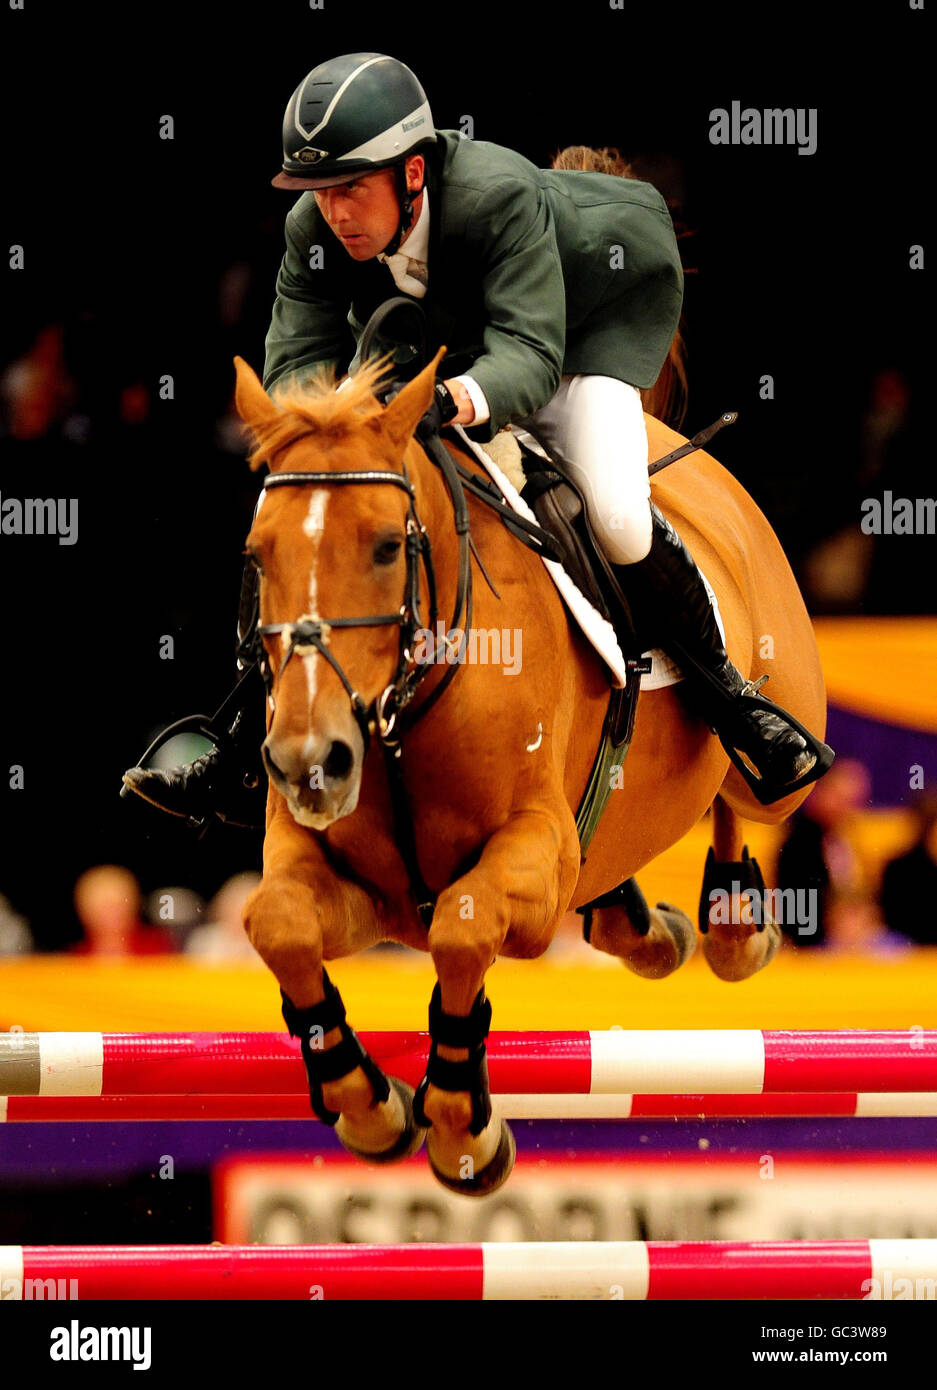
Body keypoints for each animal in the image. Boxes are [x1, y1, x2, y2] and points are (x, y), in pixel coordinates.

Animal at [234, 347, 828, 1195]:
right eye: (258, 556)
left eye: (386, 545)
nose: (309, 761)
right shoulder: (351, 883)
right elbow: (278, 923)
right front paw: (367, 1106)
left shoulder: (534, 855)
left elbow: (461, 926)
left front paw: (462, 1128)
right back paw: (644, 925)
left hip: (780, 747)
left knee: (742, 780)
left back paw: (734, 917)